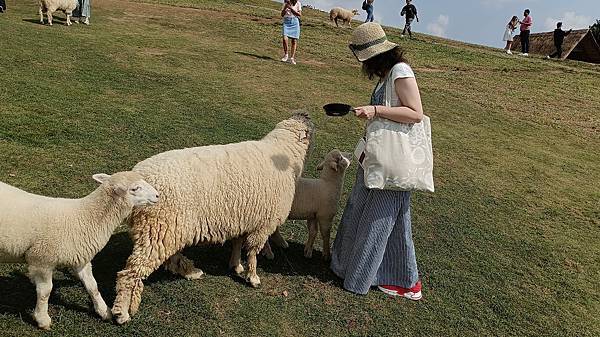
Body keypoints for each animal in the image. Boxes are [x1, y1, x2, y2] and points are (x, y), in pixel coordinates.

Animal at [0, 171, 159, 328]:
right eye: (135, 188)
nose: (158, 195)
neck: (83, 217)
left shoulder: (81, 259)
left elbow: (93, 286)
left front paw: (104, 311)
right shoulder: (41, 260)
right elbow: (45, 291)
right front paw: (42, 319)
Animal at [110, 110, 314, 322]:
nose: (306, 113)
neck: (283, 151)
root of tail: (137, 176)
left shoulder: (243, 217)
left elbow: (238, 243)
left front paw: (236, 266)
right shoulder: (263, 223)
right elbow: (252, 251)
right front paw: (253, 277)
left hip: (165, 229)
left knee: (169, 257)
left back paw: (190, 271)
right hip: (157, 227)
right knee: (130, 272)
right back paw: (122, 312)